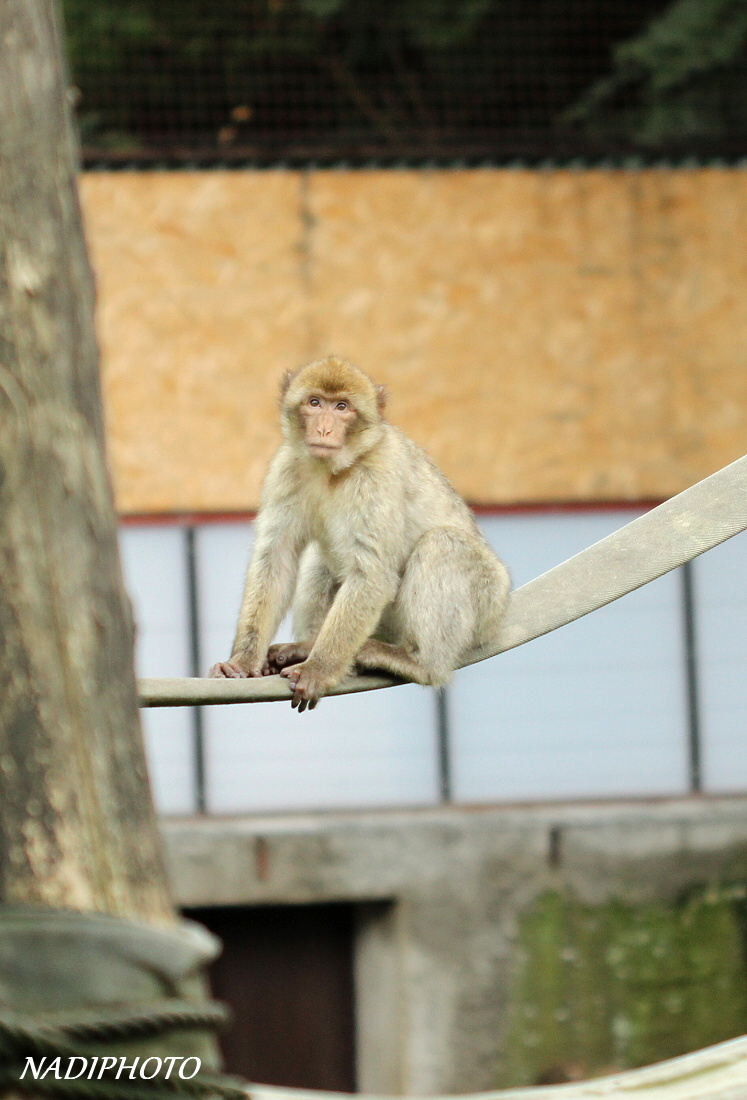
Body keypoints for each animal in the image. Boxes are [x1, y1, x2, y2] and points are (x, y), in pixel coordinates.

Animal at [213, 356, 510, 708]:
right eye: (315, 403)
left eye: (342, 407)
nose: (324, 428)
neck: (333, 470)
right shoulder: (287, 469)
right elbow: (276, 557)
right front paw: (243, 661)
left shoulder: (375, 477)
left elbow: (371, 573)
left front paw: (319, 669)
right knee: (320, 560)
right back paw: (306, 646)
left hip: (487, 602)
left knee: (443, 544)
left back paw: (419, 663)